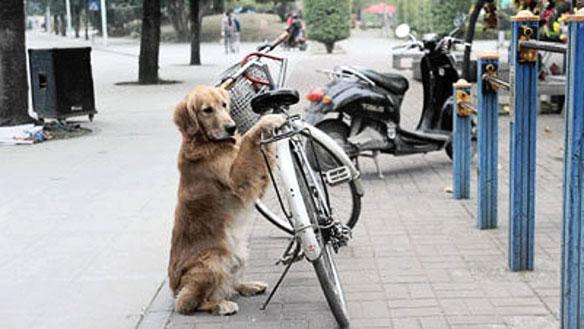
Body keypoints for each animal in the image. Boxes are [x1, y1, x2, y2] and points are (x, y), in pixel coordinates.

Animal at [167, 85, 286, 316]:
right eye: (207, 110)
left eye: (223, 105)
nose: (231, 127)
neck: (204, 141)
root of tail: (174, 289)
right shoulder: (237, 178)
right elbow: (249, 137)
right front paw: (268, 120)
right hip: (212, 261)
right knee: (188, 303)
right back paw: (221, 305)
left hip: (240, 253)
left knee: (230, 285)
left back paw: (249, 286)